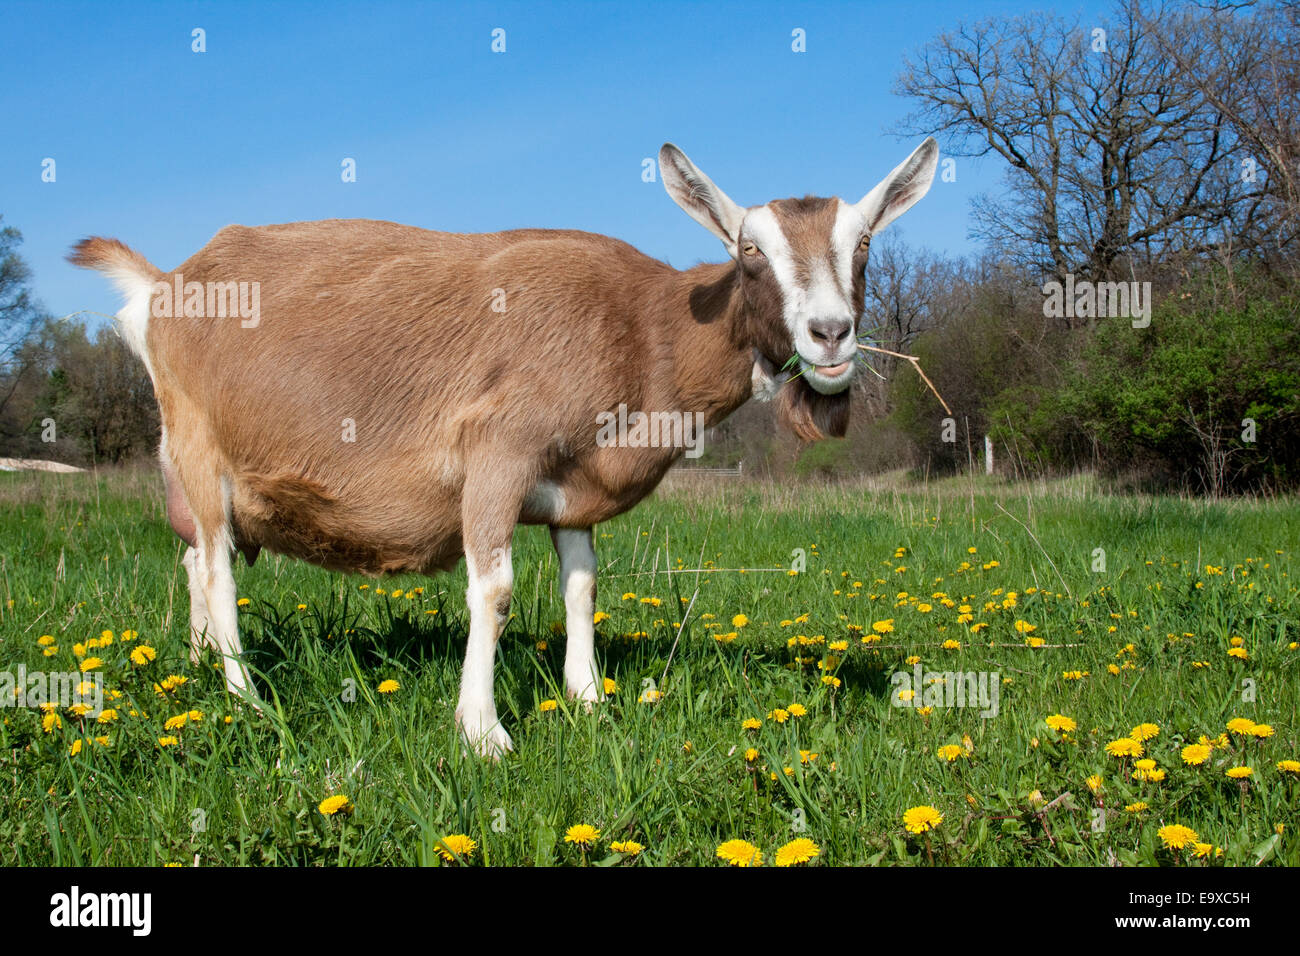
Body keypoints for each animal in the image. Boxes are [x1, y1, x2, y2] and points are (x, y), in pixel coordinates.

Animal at [69, 138, 938, 755]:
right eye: (749, 251)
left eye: (864, 243)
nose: (831, 334)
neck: (642, 327)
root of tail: (164, 284)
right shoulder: (496, 454)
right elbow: (494, 591)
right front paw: (483, 732)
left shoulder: (574, 491)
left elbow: (582, 588)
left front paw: (588, 700)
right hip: (199, 449)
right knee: (216, 569)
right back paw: (243, 694)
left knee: (194, 559)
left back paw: (197, 665)